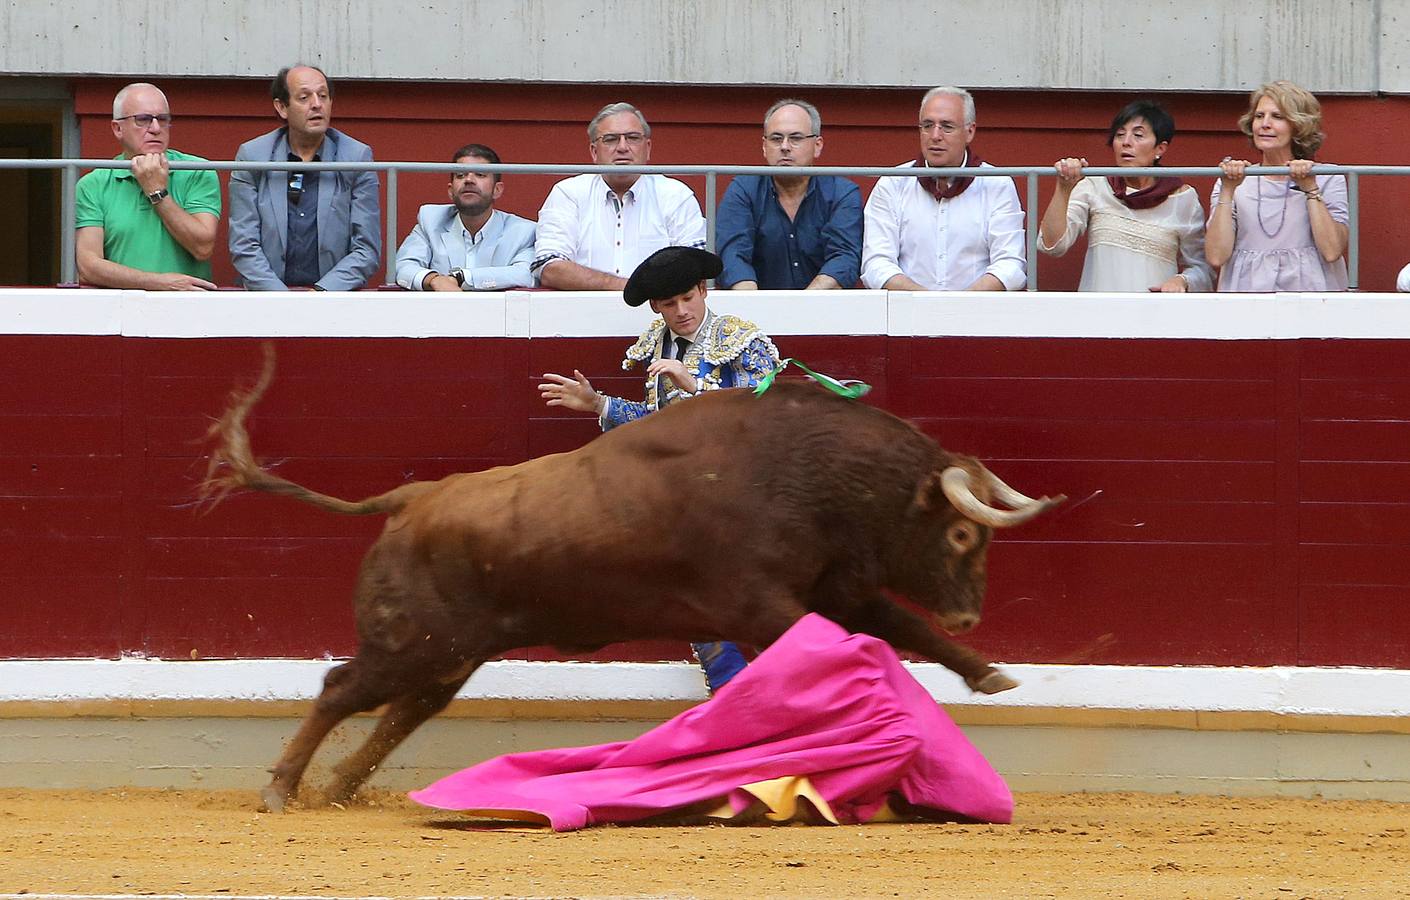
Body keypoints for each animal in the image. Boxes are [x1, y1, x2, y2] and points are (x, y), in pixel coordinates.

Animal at [195, 354, 1060, 818]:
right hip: (412, 642)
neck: (810, 471)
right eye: (961, 534)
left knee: (401, 713)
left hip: (450, 653)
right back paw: (282, 791)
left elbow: (902, 630)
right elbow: (850, 651)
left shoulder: (835, 589)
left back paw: (338, 789)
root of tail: (411, 499)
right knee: (342, 689)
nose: (971, 613)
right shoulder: (764, 607)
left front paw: (989, 673)